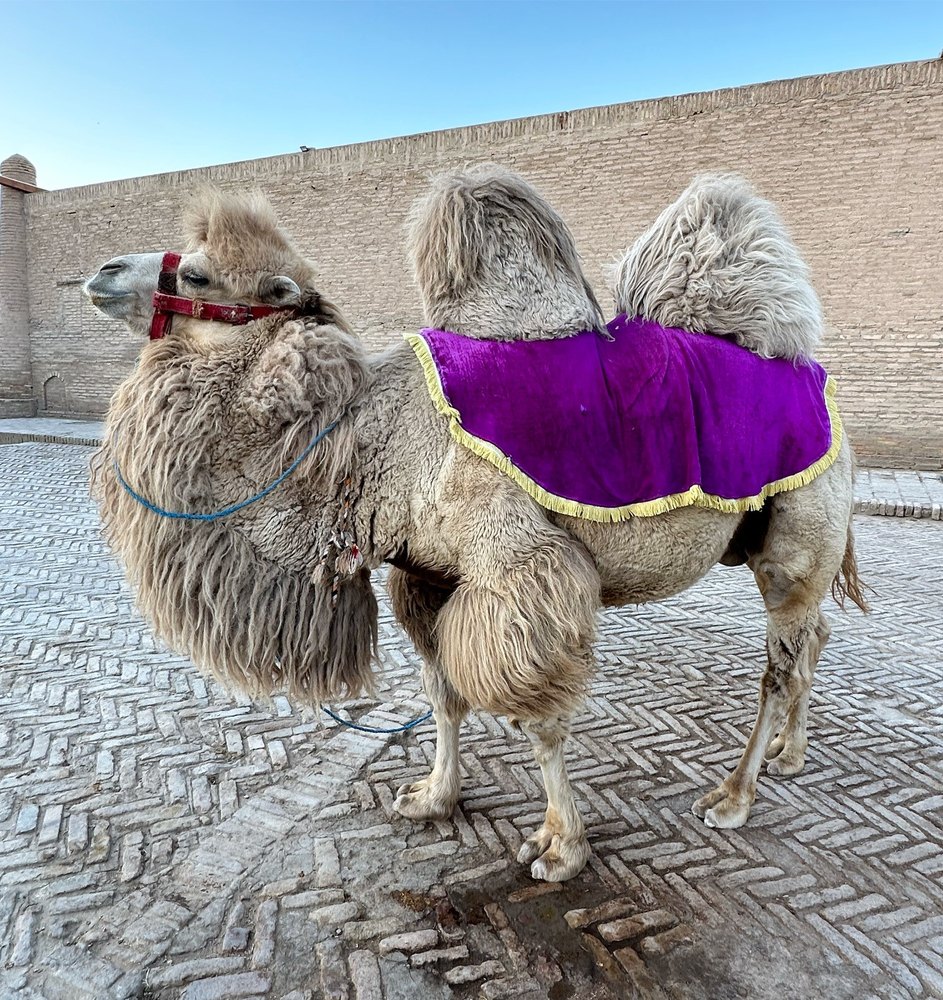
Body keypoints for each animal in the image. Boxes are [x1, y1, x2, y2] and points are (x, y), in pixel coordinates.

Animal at [83, 169, 867, 883]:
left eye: (197, 273)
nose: (101, 271)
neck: (364, 445)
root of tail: (817, 380)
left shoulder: (520, 570)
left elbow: (536, 716)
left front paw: (560, 847)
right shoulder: (426, 574)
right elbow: (443, 694)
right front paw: (433, 797)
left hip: (798, 536)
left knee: (779, 661)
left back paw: (733, 796)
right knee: (814, 638)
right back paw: (788, 753)